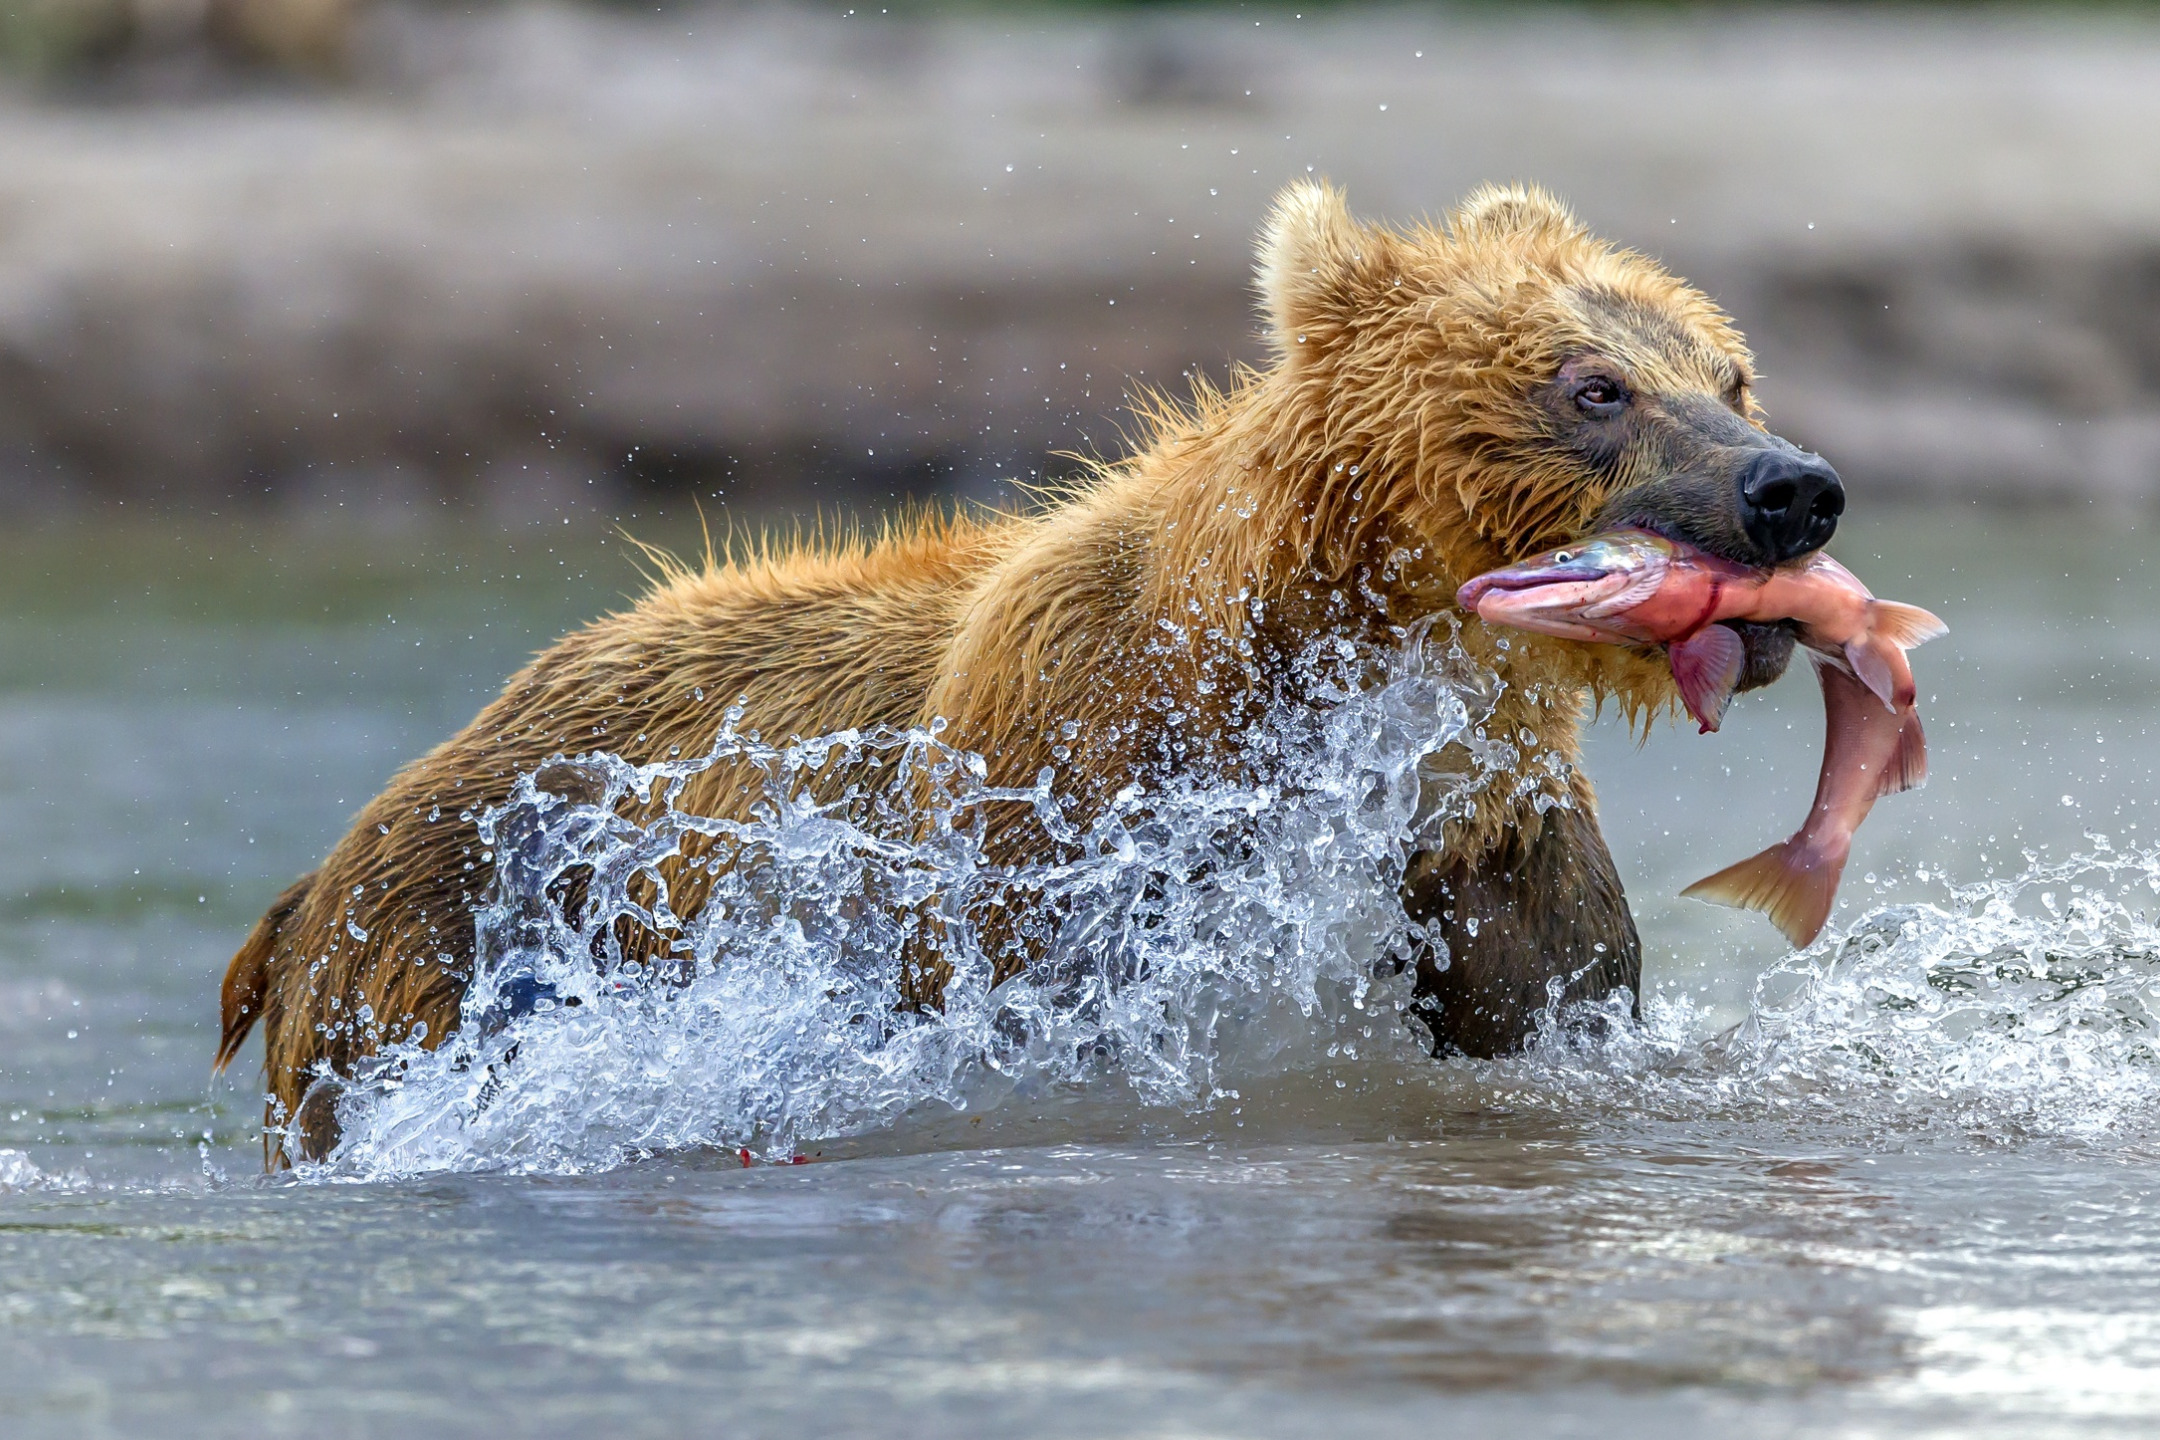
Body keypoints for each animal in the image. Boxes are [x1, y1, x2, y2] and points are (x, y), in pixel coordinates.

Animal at [214, 183, 1840, 1174]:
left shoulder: (1484, 835)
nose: (1790, 489)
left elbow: (1544, 1004)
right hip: (439, 956)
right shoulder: (1066, 803)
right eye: (1593, 386)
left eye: (1728, 370)